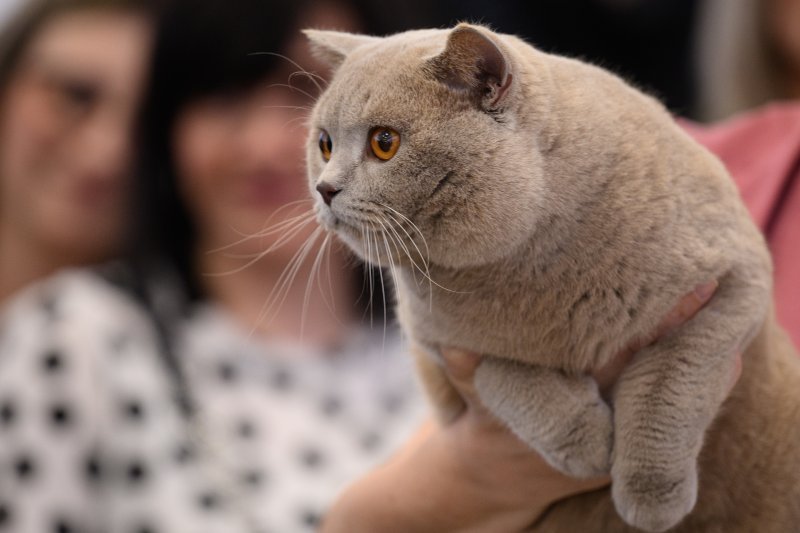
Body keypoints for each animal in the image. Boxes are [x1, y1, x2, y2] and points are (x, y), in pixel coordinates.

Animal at [302, 21, 800, 532]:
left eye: (384, 142)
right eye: (324, 144)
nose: (325, 188)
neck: (530, 264)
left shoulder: (734, 284)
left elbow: (669, 381)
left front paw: (651, 494)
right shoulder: (438, 345)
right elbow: (504, 373)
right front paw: (587, 444)